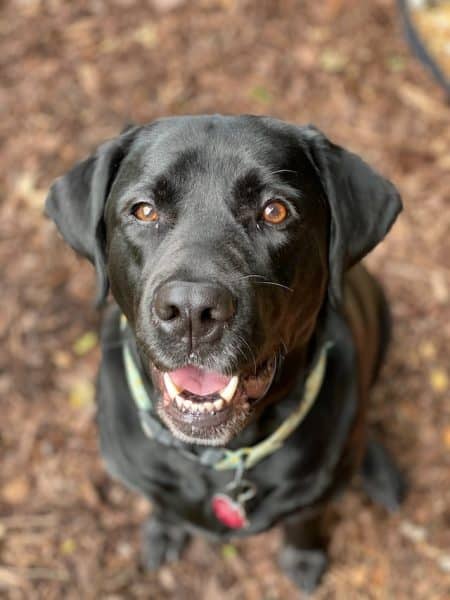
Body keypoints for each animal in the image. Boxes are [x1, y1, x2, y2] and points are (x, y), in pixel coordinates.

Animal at [45, 115, 404, 592]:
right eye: (144, 210)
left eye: (275, 211)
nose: (192, 311)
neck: (219, 457)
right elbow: (161, 503)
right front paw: (164, 529)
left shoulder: (315, 493)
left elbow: (304, 521)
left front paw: (304, 558)